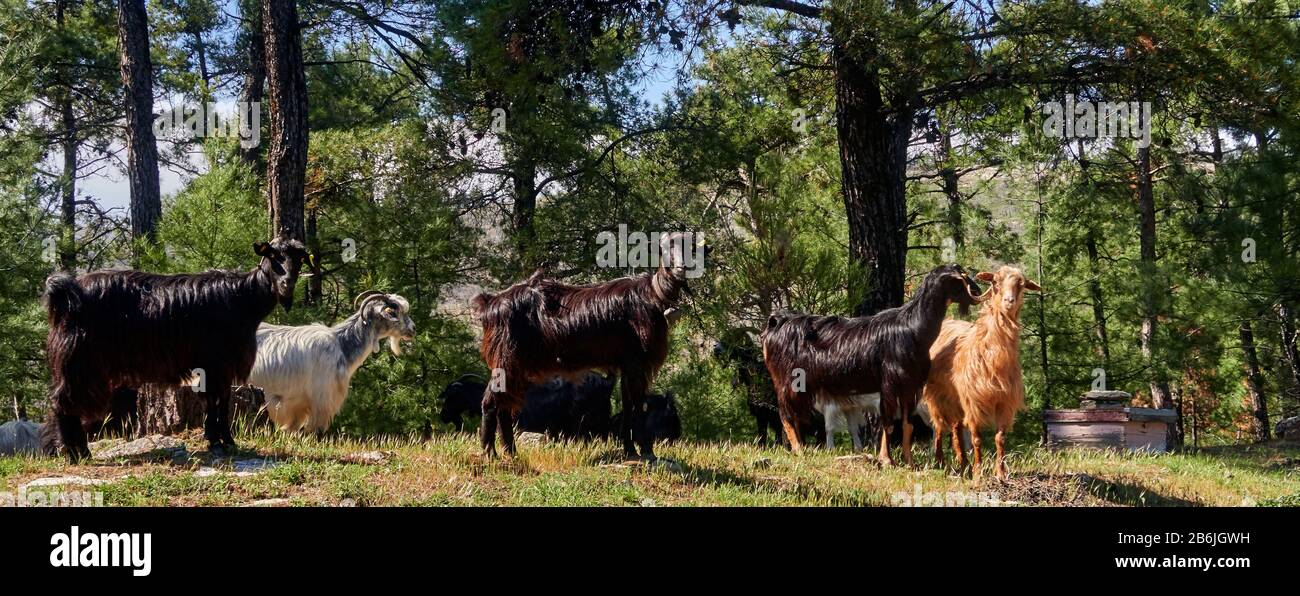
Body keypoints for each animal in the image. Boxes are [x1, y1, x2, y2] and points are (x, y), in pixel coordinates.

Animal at [40, 239, 309, 458]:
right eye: (273, 256)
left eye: (298, 259)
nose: (286, 284)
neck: (243, 298)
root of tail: (65, 293)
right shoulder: (216, 363)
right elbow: (217, 401)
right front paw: (221, 441)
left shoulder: (217, 366)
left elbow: (218, 400)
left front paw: (219, 440)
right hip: (80, 362)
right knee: (62, 402)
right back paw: (77, 453)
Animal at [250, 290, 413, 432]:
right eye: (393, 312)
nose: (413, 329)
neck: (341, 345)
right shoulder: (322, 397)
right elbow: (315, 430)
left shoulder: (298, 404)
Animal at [475, 230, 707, 458]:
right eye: (664, 248)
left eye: (691, 248)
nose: (681, 269)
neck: (652, 297)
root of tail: (490, 303)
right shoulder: (636, 360)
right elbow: (639, 404)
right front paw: (647, 451)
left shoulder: (626, 363)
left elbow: (628, 405)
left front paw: (630, 450)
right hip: (506, 358)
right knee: (490, 402)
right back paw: (490, 453)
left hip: (516, 363)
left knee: (504, 404)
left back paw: (511, 453)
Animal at [759, 264, 977, 465]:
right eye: (961, 279)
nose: (976, 292)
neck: (913, 327)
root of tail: (776, 322)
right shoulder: (889, 384)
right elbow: (887, 423)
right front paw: (886, 460)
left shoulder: (909, 386)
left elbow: (907, 425)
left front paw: (908, 462)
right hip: (788, 380)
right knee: (786, 414)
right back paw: (799, 451)